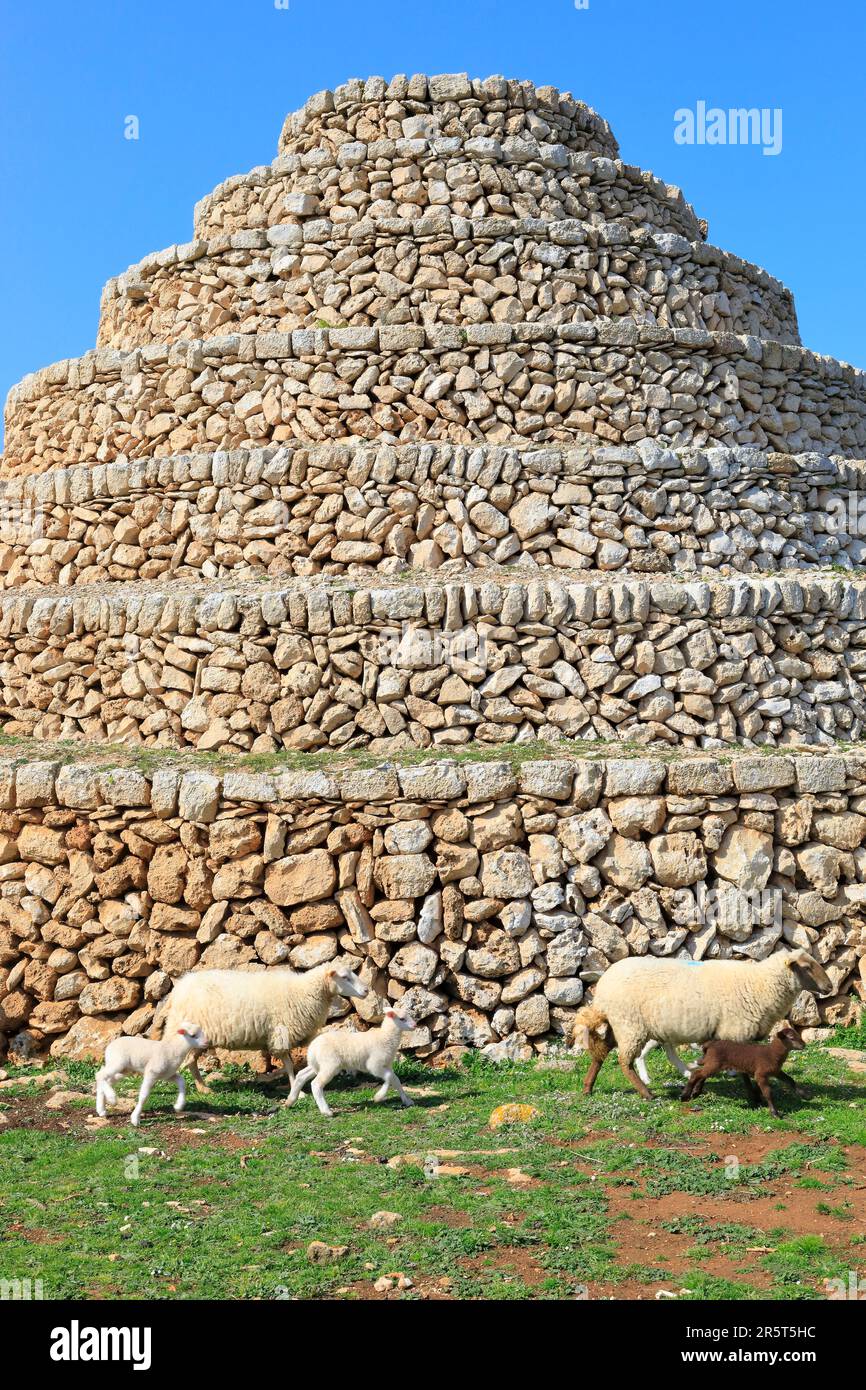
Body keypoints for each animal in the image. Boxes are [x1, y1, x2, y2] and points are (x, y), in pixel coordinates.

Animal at [161, 961, 366, 1089]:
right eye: (345, 977)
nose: (366, 990)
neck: (304, 991)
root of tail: (177, 990)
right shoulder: (281, 1033)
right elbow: (289, 1065)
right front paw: (297, 1089)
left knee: (190, 1061)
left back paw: (203, 1088)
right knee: (186, 1060)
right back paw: (200, 1088)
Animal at [287, 1000, 417, 1117]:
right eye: (402, 1019)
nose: (415, 1025)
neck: (385, 1037)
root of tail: (312, 1048)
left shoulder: (387, 1064)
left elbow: (395, 1080)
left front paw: (407, 1101)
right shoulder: (374, 1065)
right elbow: (389, 1077)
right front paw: (379, 1097)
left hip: (318, 1065)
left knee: (301, 1075)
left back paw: (290, 1101)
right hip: (330, 1065)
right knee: (316, 1084)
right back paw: (326, 1111)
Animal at [575, 950, 834, 1100]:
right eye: (807, 967)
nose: (830, 987)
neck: (759, 984)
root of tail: (603, 985)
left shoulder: (721, 1036)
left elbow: (711, 1065)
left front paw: (695, 1088)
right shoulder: (734, 1032)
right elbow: (741, 1070)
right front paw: (754, 1096)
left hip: (620, 1022)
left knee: (601, 1052)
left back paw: (588, 1087)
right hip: (630, 1025)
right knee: (624, 1061)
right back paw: (646, 1092)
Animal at [681, 1034, 811, 1117]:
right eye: (791, 1037)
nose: (804, 1045)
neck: (772, 1054)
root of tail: (710, 1045)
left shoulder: (775, 1071)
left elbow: (790, 1080)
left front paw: (804, 1095)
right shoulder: (761, 1074)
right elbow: (768, 1092)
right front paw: (774, 1113)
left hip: (713, 1063)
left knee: (701, 1075)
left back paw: (695, 1092)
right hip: (714, 1063)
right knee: (697, 1074)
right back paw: (685, 1095)